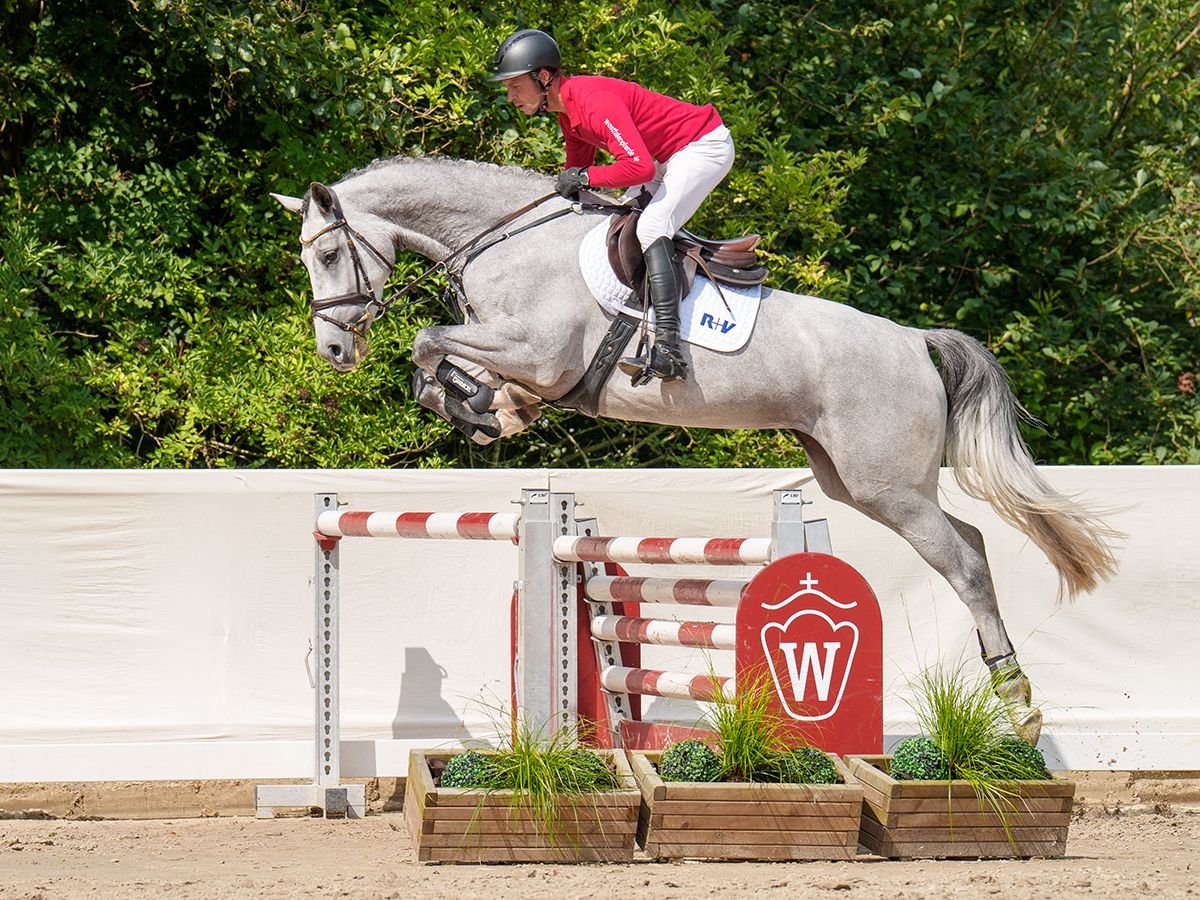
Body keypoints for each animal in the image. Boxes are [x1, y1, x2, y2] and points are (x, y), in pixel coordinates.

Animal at [274, 157, 1123, 748]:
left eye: (328, 256)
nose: (333, 352)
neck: (501, 241)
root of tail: (914, 340)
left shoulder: (540, 350)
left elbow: (427, 342)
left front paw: (487, 406)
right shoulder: (512, 348)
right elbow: (441, 362)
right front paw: (492, 409)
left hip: (889, 487)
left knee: (967, 562)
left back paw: (1019, 707)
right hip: (854, 481)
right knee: (970, 539)